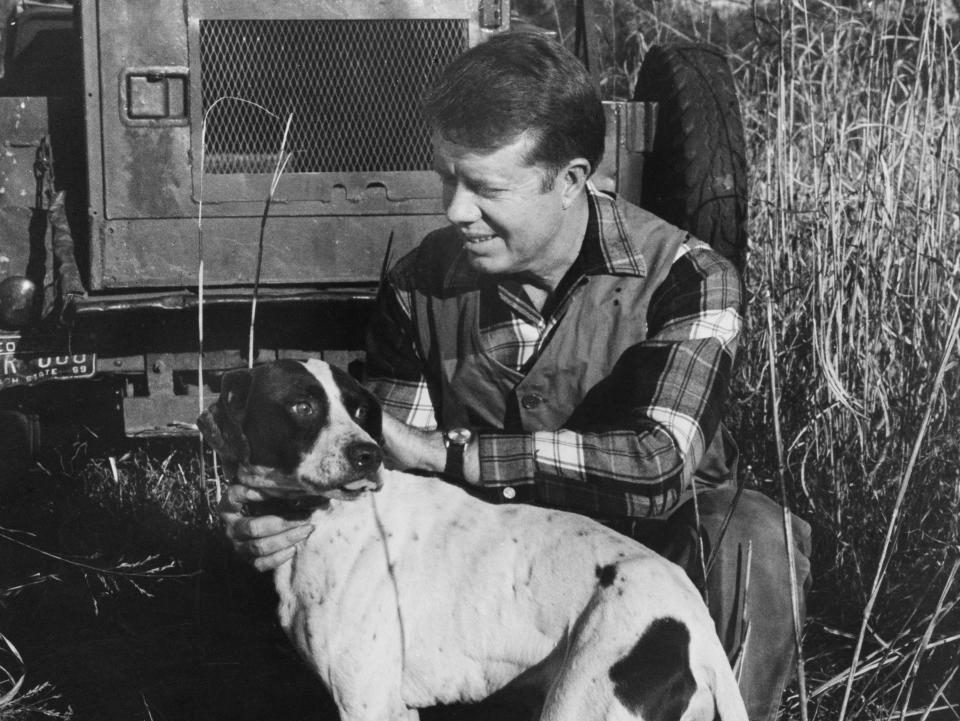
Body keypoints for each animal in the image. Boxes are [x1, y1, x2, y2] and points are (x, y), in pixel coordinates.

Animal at [197, 362, 752, 720]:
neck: (325, 517)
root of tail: (693, 621)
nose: (368, 455)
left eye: (359, 410)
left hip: (581, 705)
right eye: (301, 405)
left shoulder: (367, 702)